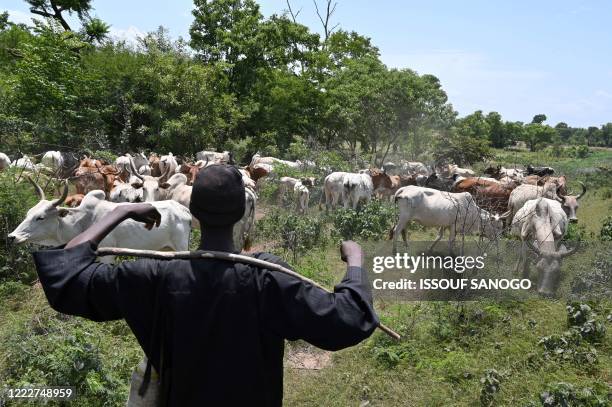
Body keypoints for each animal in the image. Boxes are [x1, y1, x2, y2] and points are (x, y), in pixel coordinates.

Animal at [6, 180, 189, 262]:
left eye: (41, 217)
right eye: (28, 214)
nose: (12, 237)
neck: (80, 223)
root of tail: (182, 209)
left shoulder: (107, 255)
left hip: (181, 247)